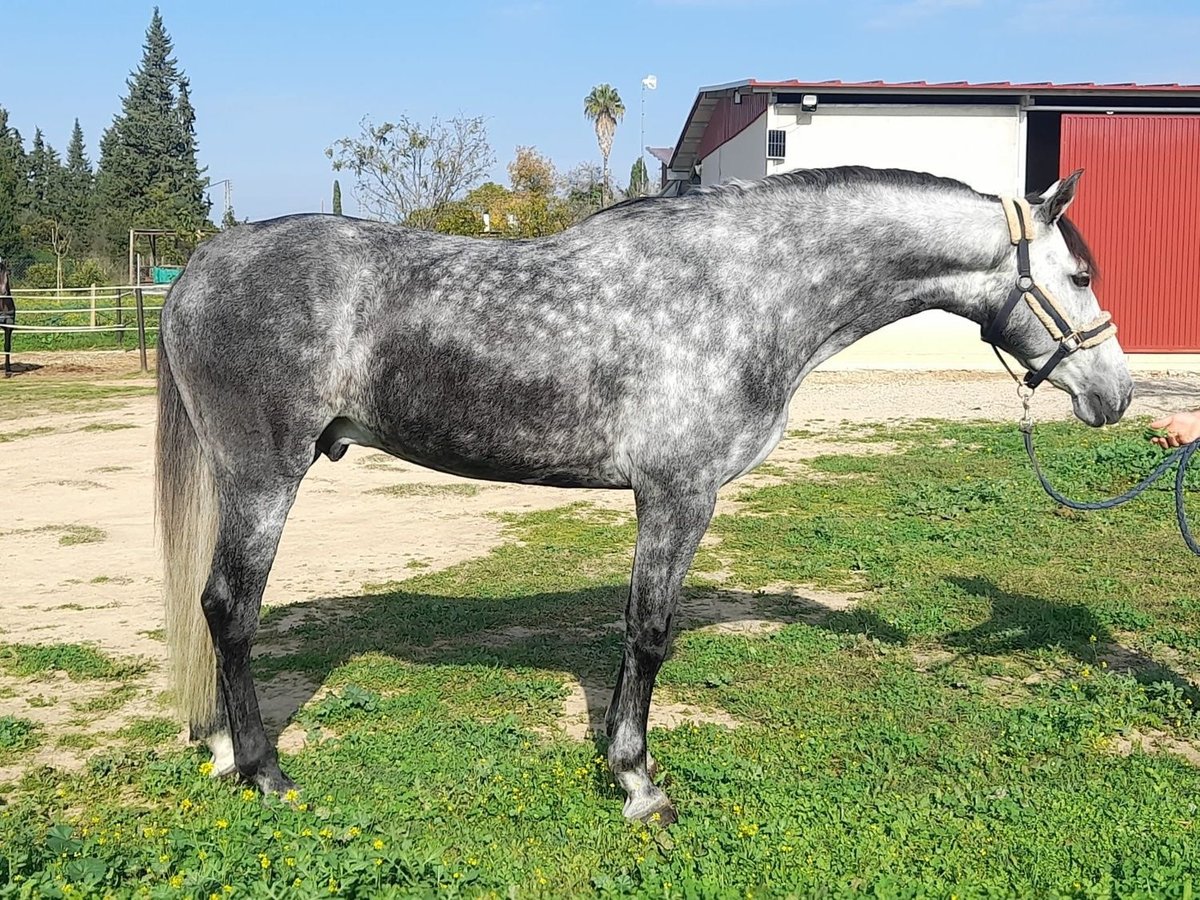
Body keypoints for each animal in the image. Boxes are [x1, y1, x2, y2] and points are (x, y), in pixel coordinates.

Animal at [154, 168, 1128, 825]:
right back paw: (263, 771)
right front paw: (640, 783)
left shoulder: (655, 501)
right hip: (263, 476)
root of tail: (203, 261)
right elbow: (654, 634)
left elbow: (630, 633)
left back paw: (221, 749)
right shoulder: (680, 495)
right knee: (229, 610)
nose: (1114, 395)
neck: (745, 290)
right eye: (1080, 277)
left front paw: (622, 760)